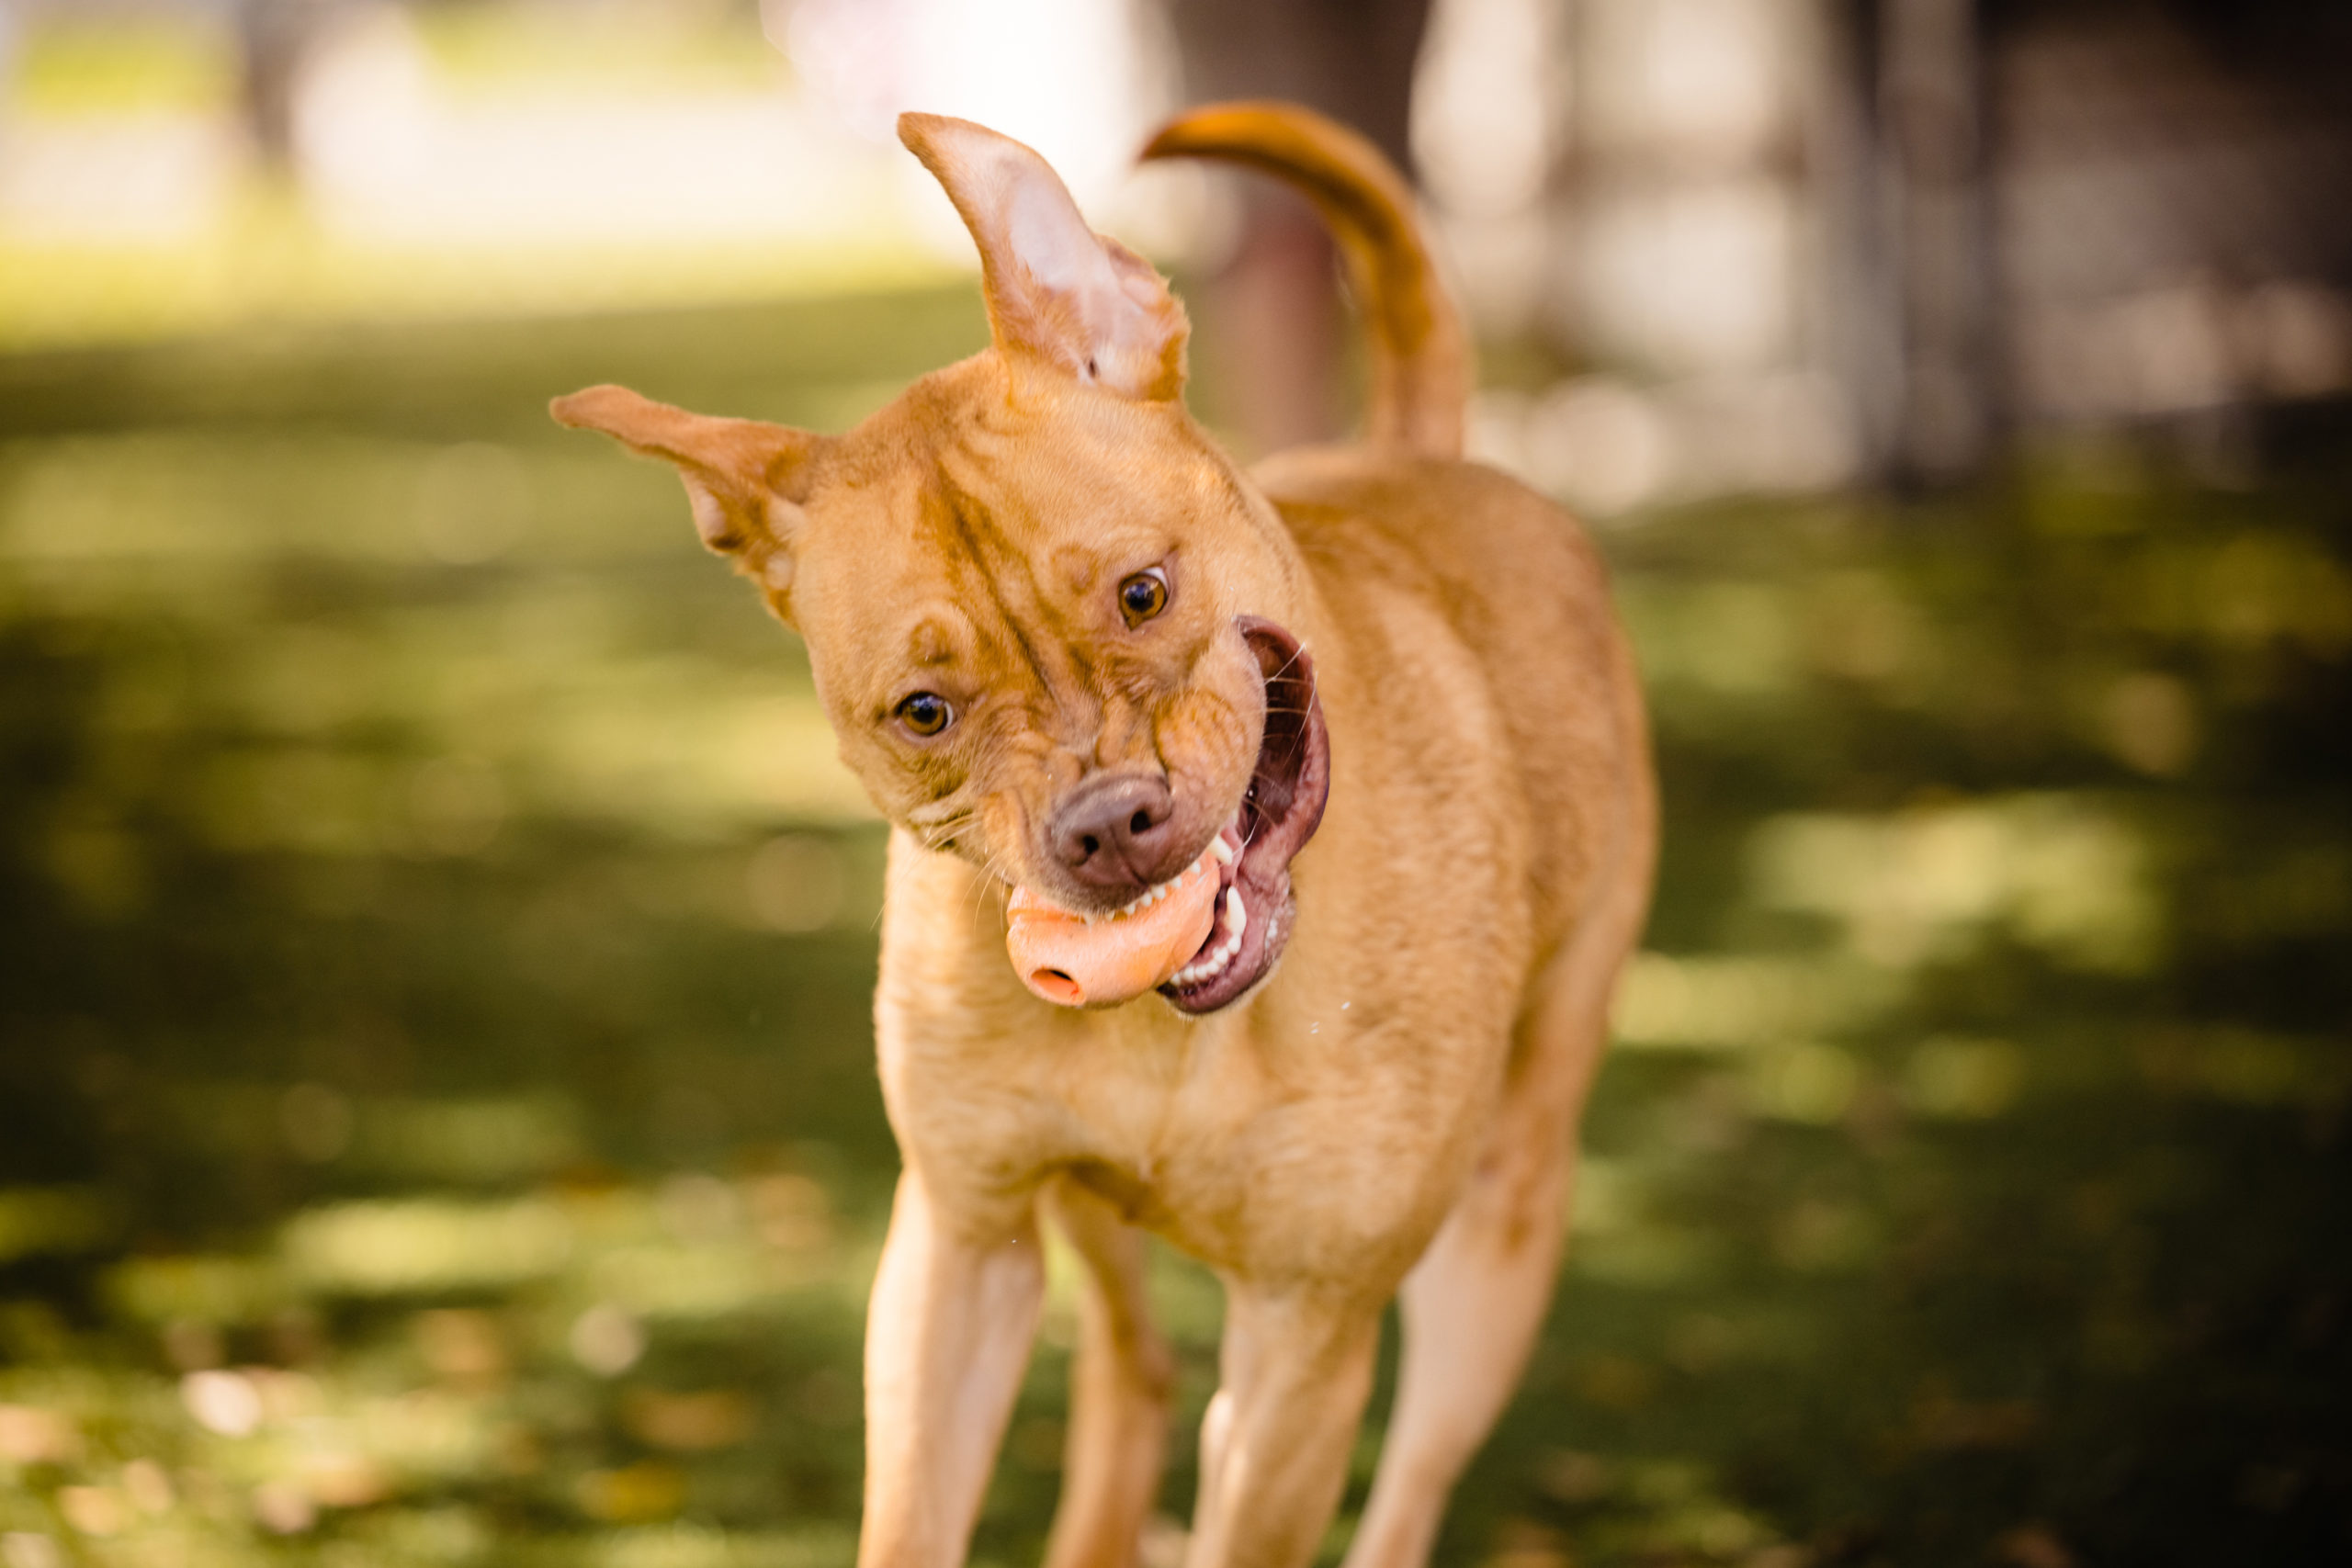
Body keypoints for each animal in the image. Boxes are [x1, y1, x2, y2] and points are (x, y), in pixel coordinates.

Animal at [550, 104, 1656, 1561]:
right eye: (924, 711)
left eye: (1142, 593)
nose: (1109, 824)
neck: (1174, 1036)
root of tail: (1421, 454)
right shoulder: (959, 1254)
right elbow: (912, 1518)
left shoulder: (1303, 1349)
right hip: (1085, 1224)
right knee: (1135, 1367)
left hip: (1495, 1240)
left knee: (1406, 1487)